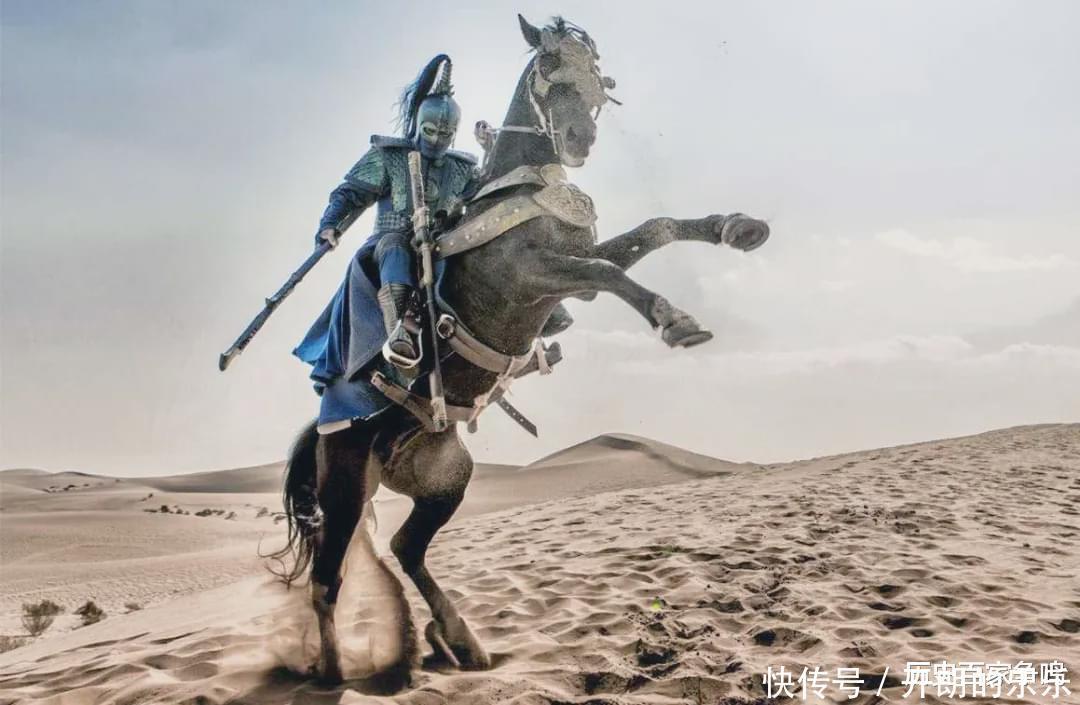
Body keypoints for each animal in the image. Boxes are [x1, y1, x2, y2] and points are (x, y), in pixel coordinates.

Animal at [268, 15, 768, 686]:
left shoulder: (571, 272)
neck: (517, 189)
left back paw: (461, 640)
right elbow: (609, 269)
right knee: (328, 580)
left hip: (445, 479)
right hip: (344, 488)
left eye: (597, 78)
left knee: (404, 547)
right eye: (549, 68)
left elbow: (651, 231)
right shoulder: (533, 274)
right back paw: (333, 670)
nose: (580, 140)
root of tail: (328, 431)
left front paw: (737, 227)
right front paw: (675, 319)